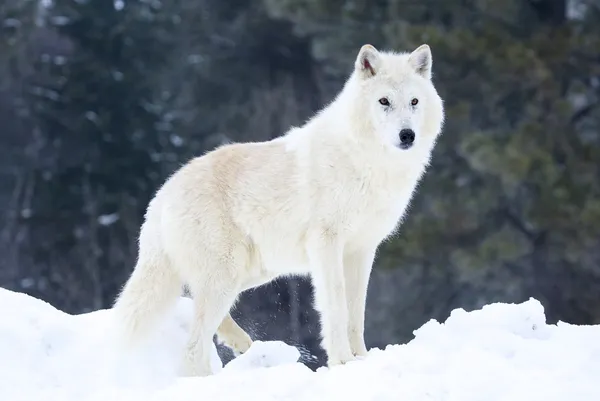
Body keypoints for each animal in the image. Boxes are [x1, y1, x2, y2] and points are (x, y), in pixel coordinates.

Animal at [112, 43, 446, 376]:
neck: (369, 162)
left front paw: (362, 358)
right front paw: (342, 362)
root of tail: (161, 195)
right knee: (192, 349)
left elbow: (356, 313)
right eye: (384, 101)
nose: (407, 135)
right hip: (227, 276)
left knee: (197, 309)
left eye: (414, 101)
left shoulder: (362, 250)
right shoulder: (326, 244)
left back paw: (241, 343)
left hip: (251, 274)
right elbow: (336, 307)